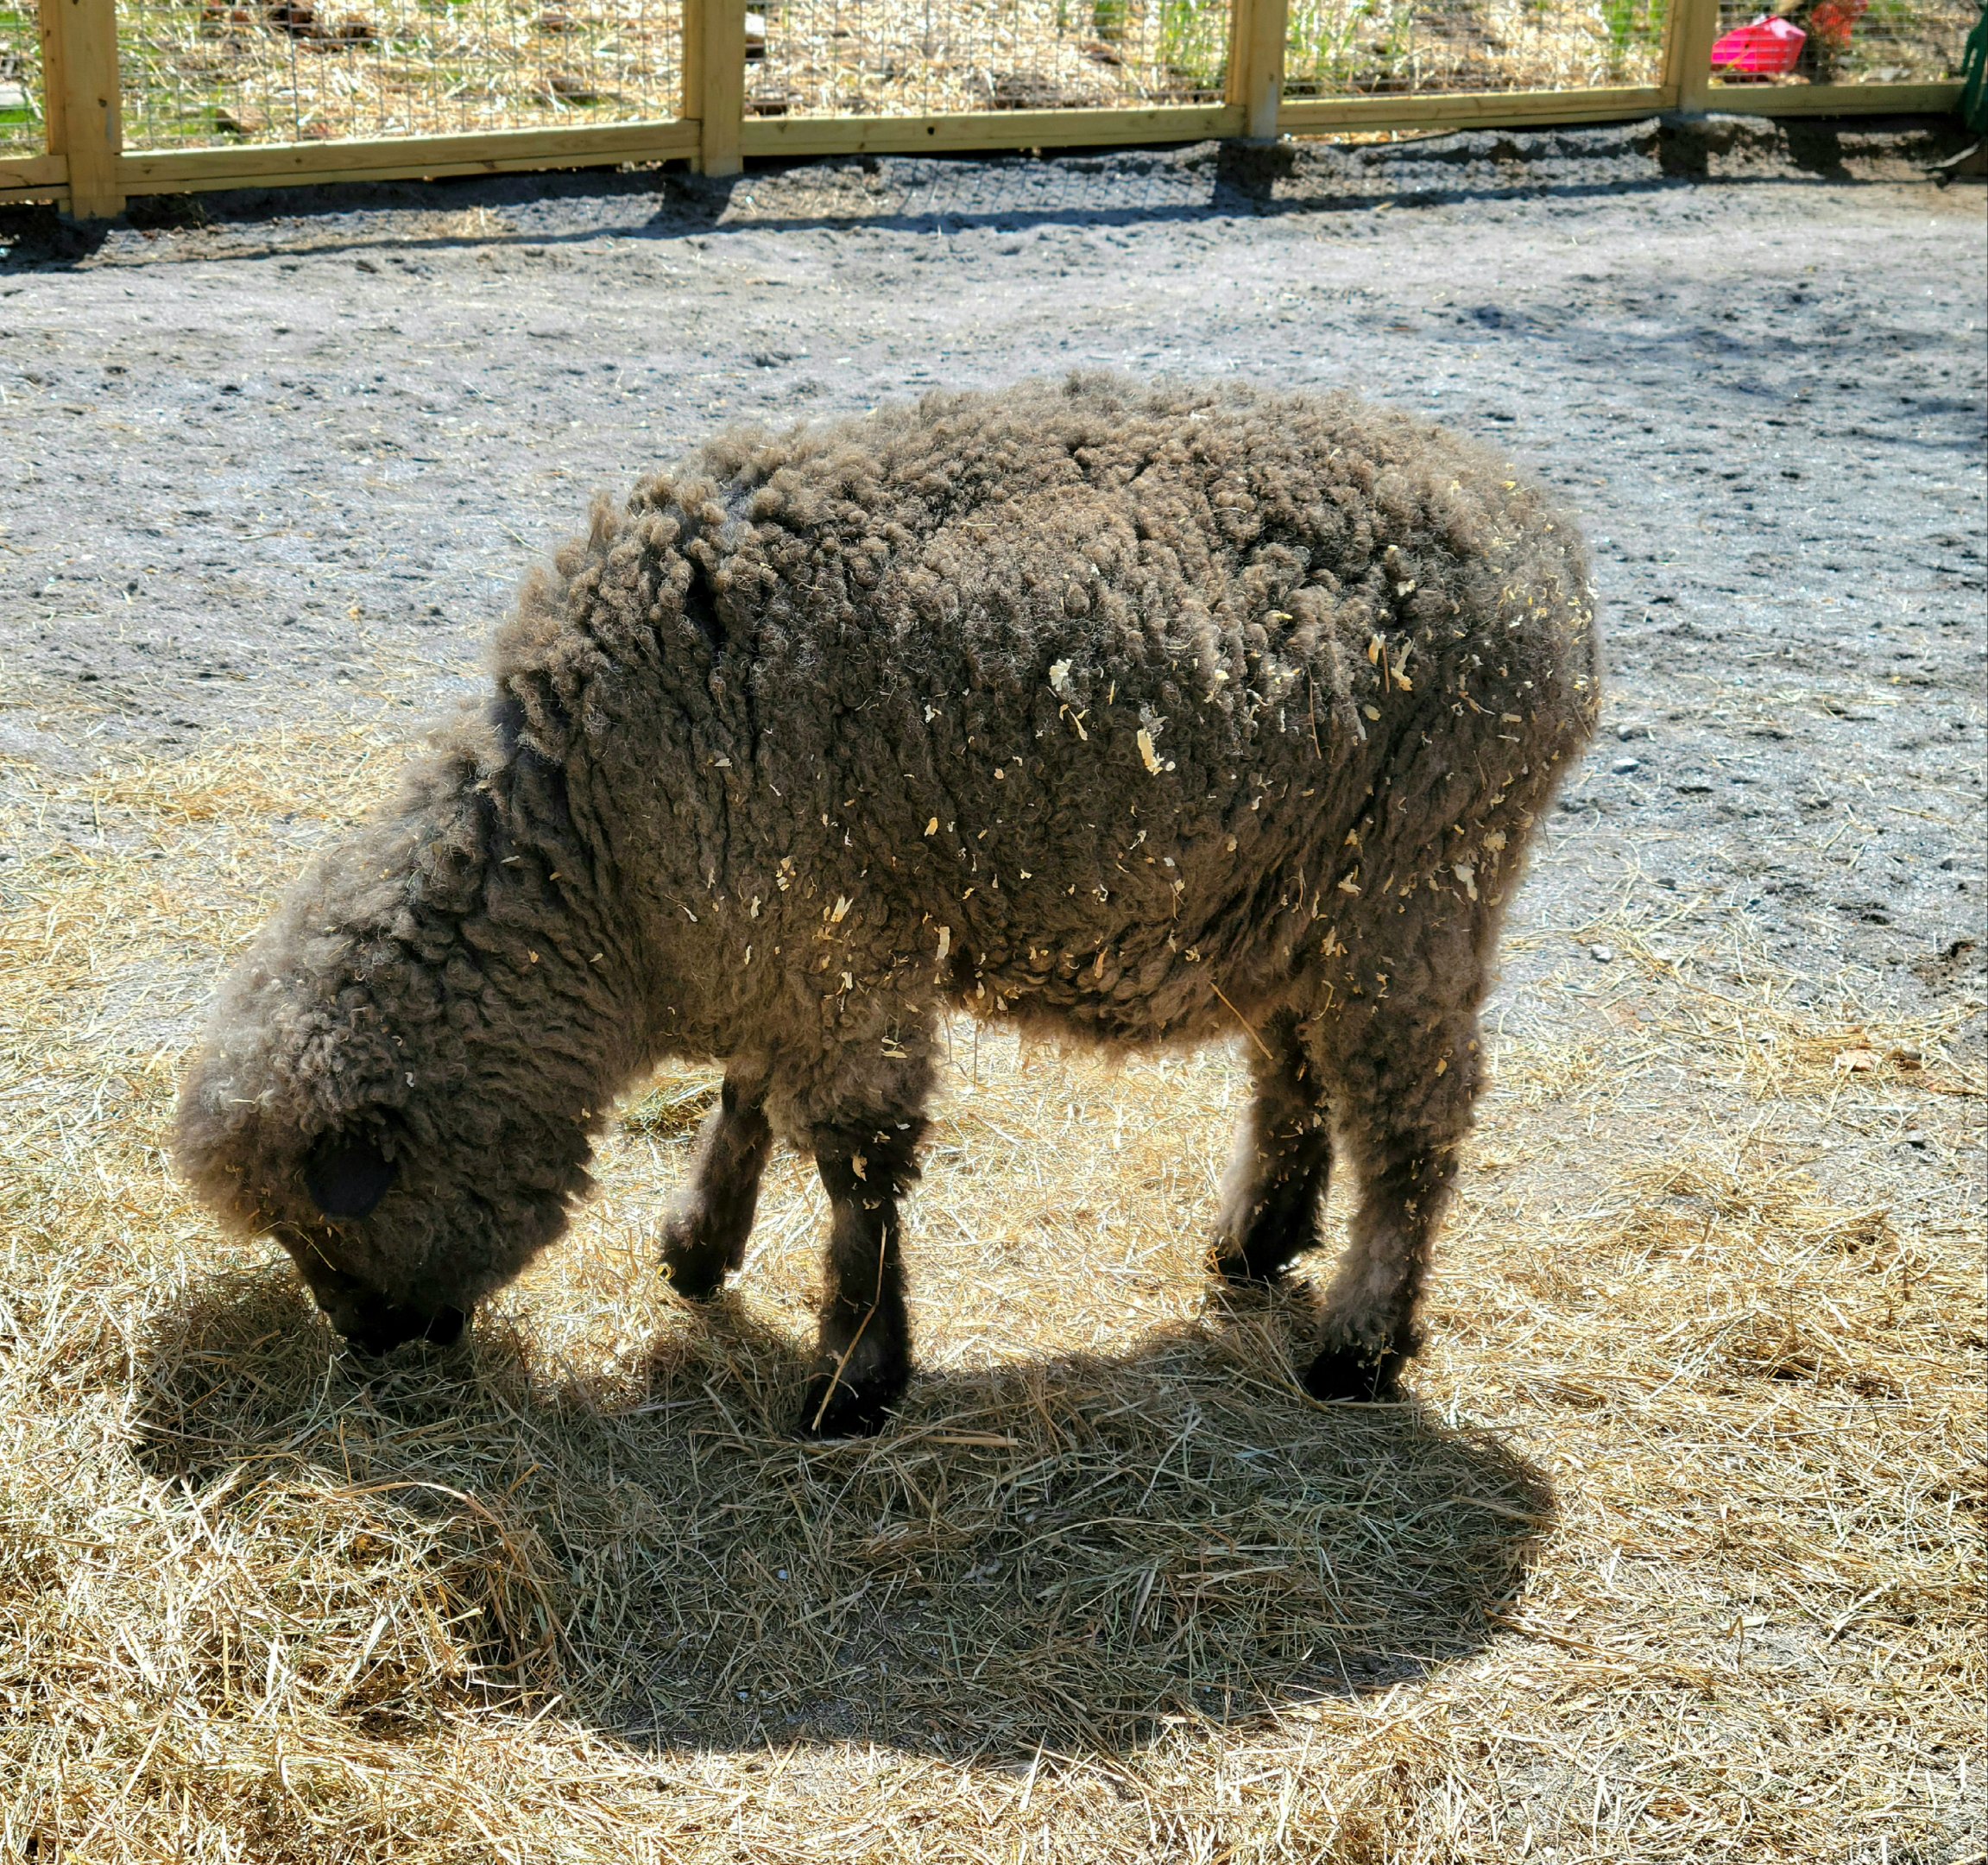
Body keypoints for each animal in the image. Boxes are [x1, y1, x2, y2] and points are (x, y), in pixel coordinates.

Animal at [176, 373, 1601, 1437]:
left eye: (325, 1226)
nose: (375, 1350)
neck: (601, 873)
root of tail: (1543, 544)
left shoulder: (835, 945)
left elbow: (857, 1166)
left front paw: (853, 1376)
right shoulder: (773, 933)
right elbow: (749, 1100)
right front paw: (700, 1248)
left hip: (1421, 877)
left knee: (1411, 1126)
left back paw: (1357, 1345)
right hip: (1296, 889)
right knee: (1292, 1068)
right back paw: (1257, 1241)